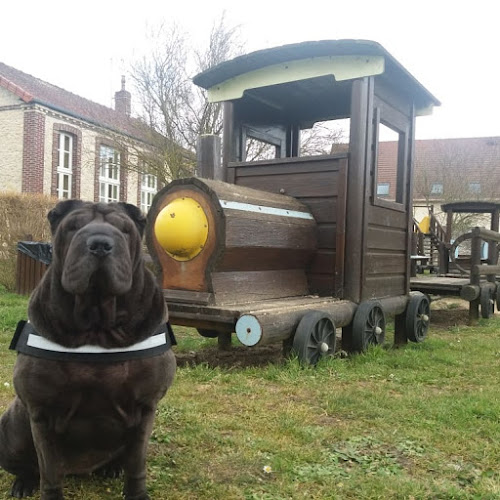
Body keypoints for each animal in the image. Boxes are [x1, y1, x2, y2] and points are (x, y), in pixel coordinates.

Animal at [0, 200, 176, 500]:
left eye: (124, 230)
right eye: (73, 227)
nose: (100, 244)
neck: (97, 326)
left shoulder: (145, 407)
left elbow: (136, 464)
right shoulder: (41, 411)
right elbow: (49, 471)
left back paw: (111, 469)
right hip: (11, 429)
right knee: (29, 464)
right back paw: (23, 482)